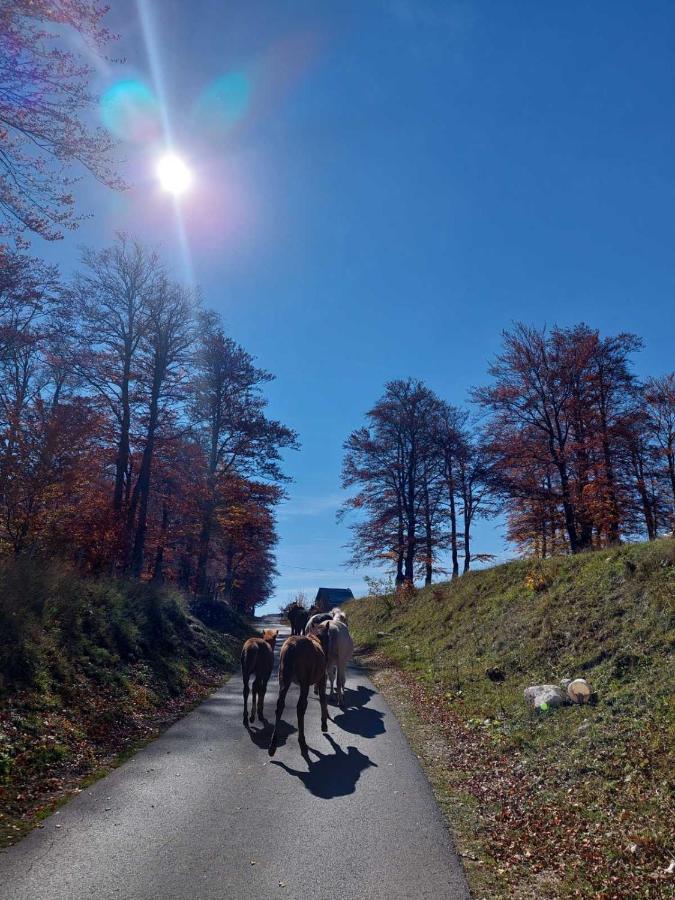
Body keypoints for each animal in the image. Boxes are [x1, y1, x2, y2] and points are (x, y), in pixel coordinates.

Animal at [270, 624, 332, 760]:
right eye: (329, 636)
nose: (328, 655)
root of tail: (292, 647)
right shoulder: (321, 678)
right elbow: (323, 698)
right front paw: (324, 724)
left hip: (284, 678)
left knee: (280, 705)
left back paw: (273, 744)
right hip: (304, 681)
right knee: (301, 707)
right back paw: (302, 741)